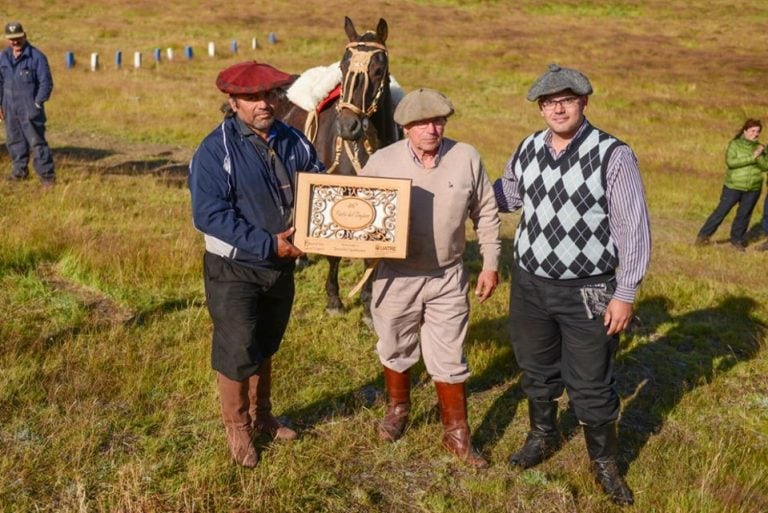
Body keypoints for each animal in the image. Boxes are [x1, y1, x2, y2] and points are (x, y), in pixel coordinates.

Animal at [282, 17, 402, 324]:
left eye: (379, 70)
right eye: (344, 68)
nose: (348, 126)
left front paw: (369, 306)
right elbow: (333, 252)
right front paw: (334, 301)